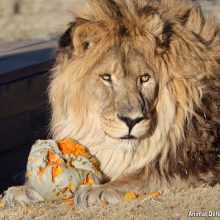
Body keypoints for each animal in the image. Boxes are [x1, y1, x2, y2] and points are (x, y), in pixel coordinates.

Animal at [2, 0, 220, 206]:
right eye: (106, 77)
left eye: (144, 78)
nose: (131, 121)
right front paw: (23, 190)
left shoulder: (193, 161)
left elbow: (142, 175)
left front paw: (98, 190)